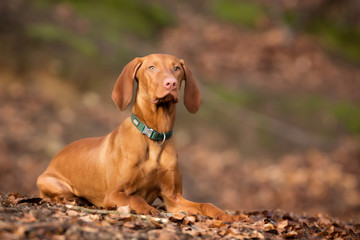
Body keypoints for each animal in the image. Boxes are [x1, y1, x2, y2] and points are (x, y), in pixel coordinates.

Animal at [36, 54, 233, 221]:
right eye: (152, 67)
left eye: (176, 68)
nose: (171, 83)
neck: (154, 136)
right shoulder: (114, 193)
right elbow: (135, 198)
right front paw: (147, 209)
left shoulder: (173, 198)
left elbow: (206, 204)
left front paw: (226, 215)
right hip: (48, 181)